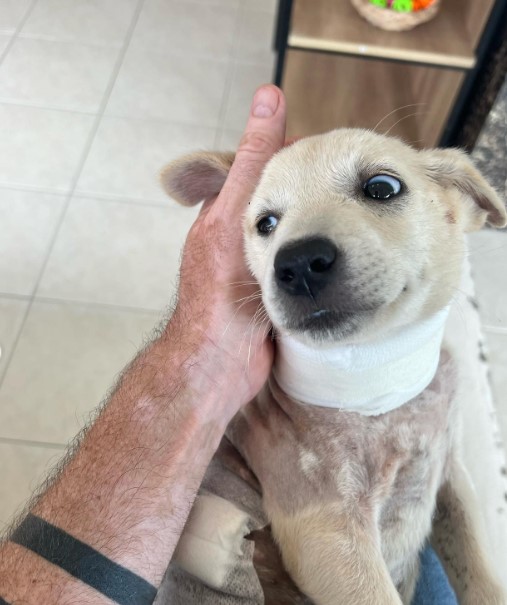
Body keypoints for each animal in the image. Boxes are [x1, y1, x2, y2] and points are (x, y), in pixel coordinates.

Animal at [159, 131, 507, 604]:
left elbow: (479, 569)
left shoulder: (451, 472)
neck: (380, 402)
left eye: (382, 187)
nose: (297, 263)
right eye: (265, 223)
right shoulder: (327, 530)